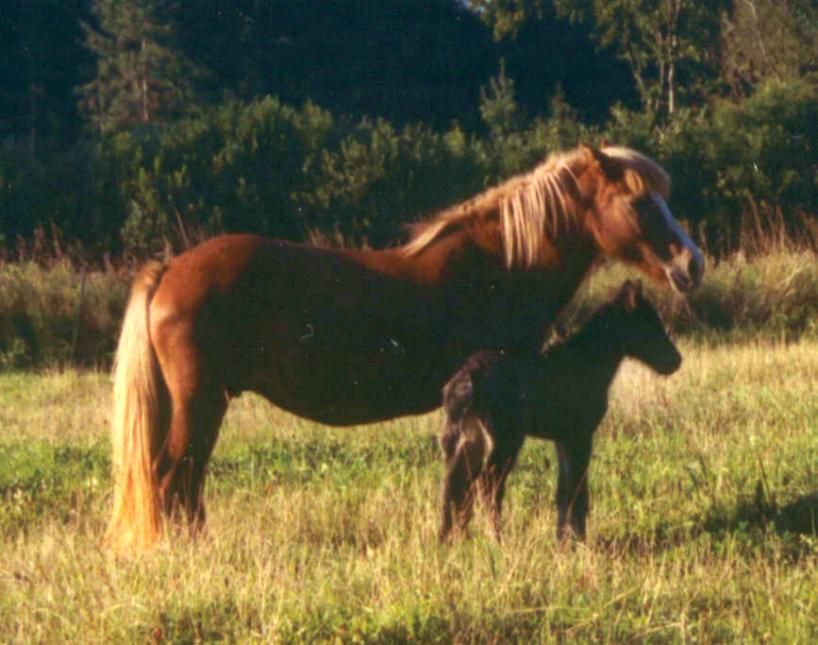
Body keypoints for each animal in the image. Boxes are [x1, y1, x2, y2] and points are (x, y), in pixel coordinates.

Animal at [436, 280, 680, 540]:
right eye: (648, 323)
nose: (676, 361)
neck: (586, 362)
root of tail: (465, 382)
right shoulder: (580, 435)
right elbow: (578, 493)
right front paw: (580, 540)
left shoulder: (563, 439)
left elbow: (563, 493)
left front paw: (562, 539)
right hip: (505, 441)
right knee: (487, 486)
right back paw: (497, 538)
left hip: (464, 440)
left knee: (455, 486)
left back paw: (452, 539)